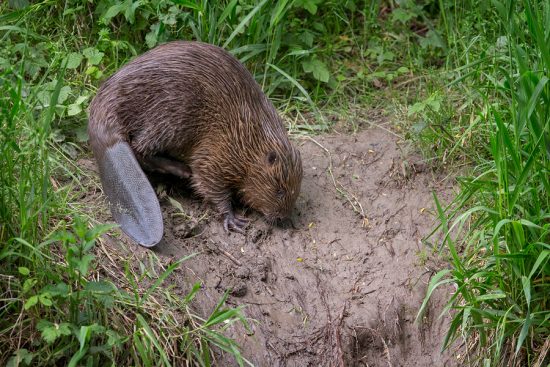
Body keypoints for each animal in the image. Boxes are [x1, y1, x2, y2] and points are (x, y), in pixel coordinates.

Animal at [91, 41, 306, 247]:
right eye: (279, 191)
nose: (282, 218)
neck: (250, 136)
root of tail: (106, 135)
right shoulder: (218, 149)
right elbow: (207, 179)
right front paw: (232, 219)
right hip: (169, 117)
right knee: (140, 148)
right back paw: (181, 170)